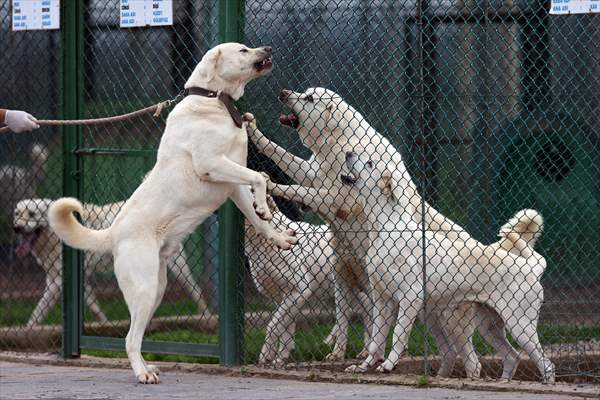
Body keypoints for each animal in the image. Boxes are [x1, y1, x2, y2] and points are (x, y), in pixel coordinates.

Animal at [340, 152, 556, 382]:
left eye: (370, 163)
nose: (348, 153)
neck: (385, 229)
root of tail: (531, 267)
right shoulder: (382, 301)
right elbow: (375, 342)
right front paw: (364, 367)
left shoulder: (409, 297)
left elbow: (398, 335)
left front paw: (389, 365)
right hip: (489, 327)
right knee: (512, 356)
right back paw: (504, 382)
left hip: (519, 325)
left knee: (546, 364)